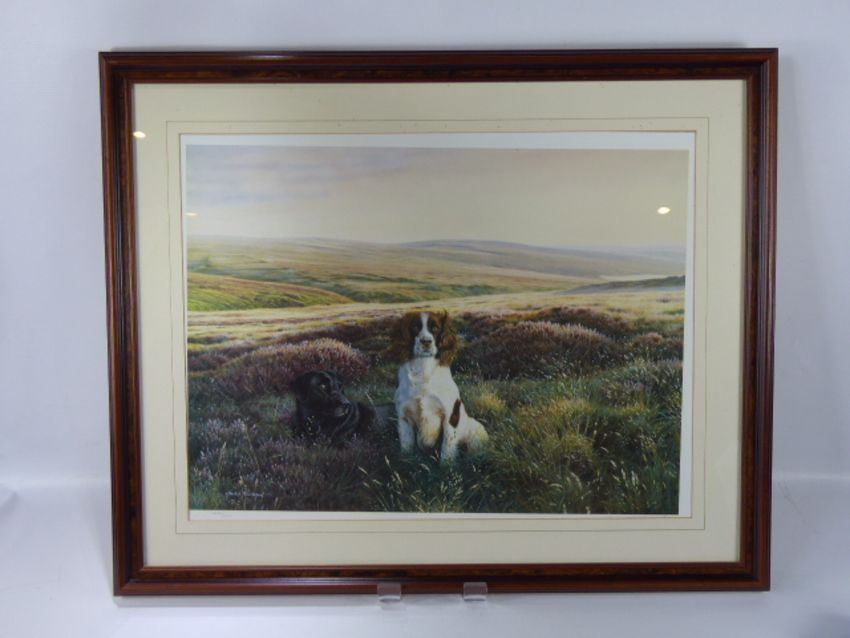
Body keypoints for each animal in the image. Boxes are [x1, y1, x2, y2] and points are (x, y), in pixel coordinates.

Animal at [391, 310, 488, 462]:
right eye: (415, 327)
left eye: (435, 328)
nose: (426, 342)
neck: (423, 371)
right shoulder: (403, 417)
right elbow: (407, 448)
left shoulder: (450, 417)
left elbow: (447, 450)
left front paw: (446, 467)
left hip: (477, 431)